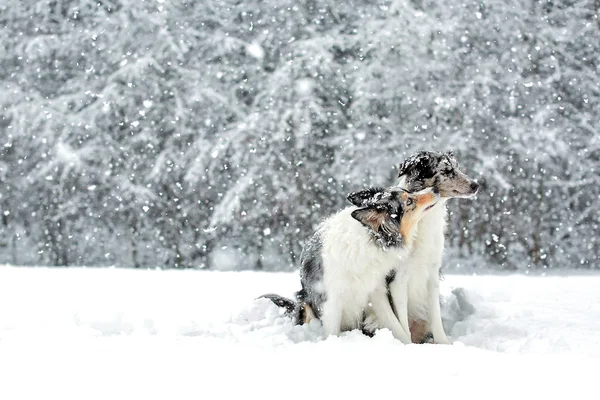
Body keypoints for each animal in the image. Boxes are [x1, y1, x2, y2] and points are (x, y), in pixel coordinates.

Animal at [260, 185, 438, 340]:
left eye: (409, 192)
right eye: (409, 201)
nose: (435, 189)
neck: (368, 240)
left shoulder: (377, 293)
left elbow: (396, 326)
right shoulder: (331, 301)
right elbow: (332, 333)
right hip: (305, 304)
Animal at [358, 150, 480, 344]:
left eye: (458, 167)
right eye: (446, 170)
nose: (476, 185)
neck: (422, 220)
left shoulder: (432, 274)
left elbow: (436, 318)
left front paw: (444, 344)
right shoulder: (398, 280)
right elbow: (401, 322)